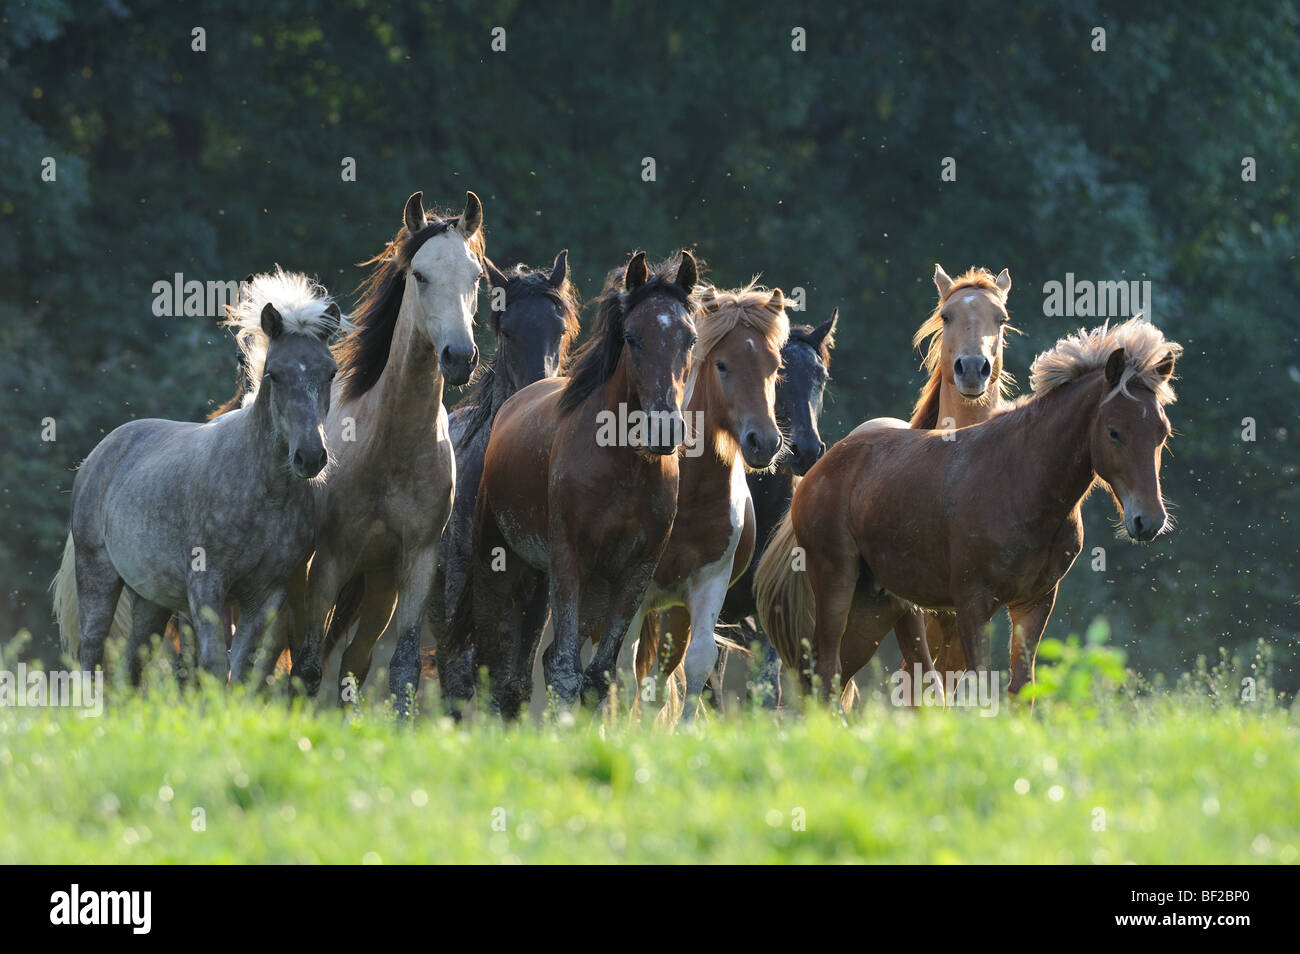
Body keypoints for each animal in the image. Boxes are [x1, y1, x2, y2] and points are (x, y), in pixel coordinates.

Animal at [287, 192, 486, 712]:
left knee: (353, 664)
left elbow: (402, 668)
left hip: (378, 588)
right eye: (420, 275)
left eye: (476, 276)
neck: (389, 448)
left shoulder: (415, 563)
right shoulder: (329, 562)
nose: (460, 358)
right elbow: (308, 666)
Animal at [325, 254, 585, 701]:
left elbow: (514, 680)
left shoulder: (539, 590)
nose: (535, 402)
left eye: (561, 330)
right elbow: (468, 673)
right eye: (507, 331)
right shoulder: (461, 582)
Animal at [454, 250, 702, 712]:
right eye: (632, 337)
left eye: (690, 339)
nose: (664, 428)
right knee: (492, 663)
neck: (624, 467)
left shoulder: (635, 571)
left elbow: (597, 676)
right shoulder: (568, 558)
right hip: (498, 565)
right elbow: (567, 669)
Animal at [624, 282, 785, 717]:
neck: (689, 495)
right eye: (723, 365)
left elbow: (698, 662)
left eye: (774, 366)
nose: (764, 442)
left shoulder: (707, 584)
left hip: (673, 612)